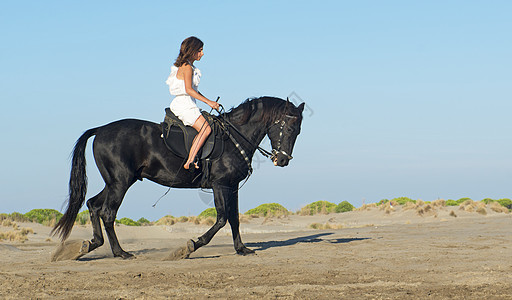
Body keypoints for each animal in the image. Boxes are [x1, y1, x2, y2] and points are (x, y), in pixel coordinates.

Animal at [53, 96, 304, 260]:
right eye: (291, 128)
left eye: (298, 131)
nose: (282, 160)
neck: (234, 136)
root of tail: (101, 129)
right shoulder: (220, 185)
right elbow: (222, 218)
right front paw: (190, 246)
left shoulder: (232, 186)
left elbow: (234, 218)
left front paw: (241, 249)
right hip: (120, 183)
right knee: (107, 212)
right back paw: (120, 252)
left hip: (116, 182)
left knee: (93, 205)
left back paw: (90, 245)